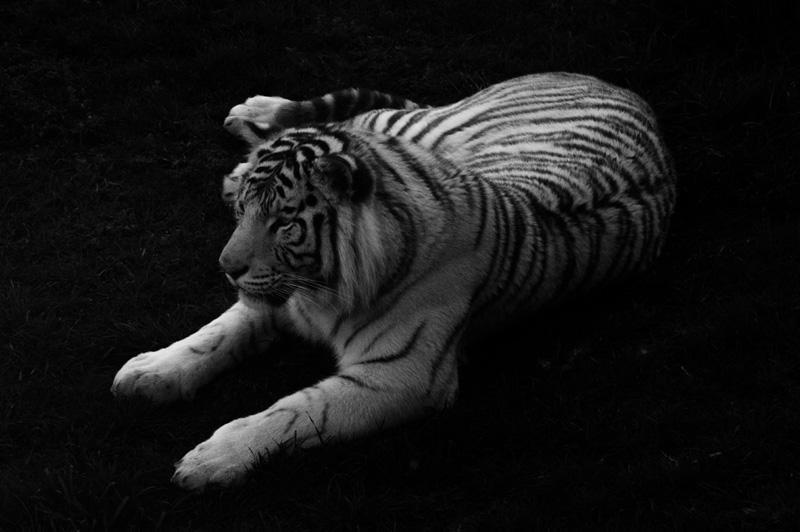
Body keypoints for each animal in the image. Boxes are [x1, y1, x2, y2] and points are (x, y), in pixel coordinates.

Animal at [111, 73, 676, 490]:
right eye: (246, 212)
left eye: (284, 222)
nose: (227, 267)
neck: (322, 285)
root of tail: (613, 84)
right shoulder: (275, 299)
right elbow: (214, 336)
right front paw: (150, 372)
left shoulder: (402, 375)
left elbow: (295, 412)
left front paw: (212, 460)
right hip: (421, 126)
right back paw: (253, 123)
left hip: (421, 127)